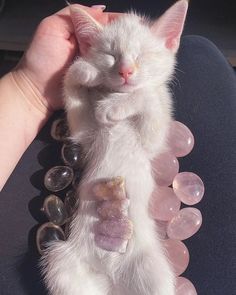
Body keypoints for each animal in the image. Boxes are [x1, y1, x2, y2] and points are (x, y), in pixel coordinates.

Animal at [40, 1, 188, 294]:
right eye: (110, 55)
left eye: (142, 55)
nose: (125, 71)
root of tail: (112, 280)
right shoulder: (85, 133)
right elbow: (73, 96)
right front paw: (83, 71)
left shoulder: (153, 138)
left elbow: (148, 96)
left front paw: (116, 105)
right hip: (63, 262)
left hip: (152, 273)